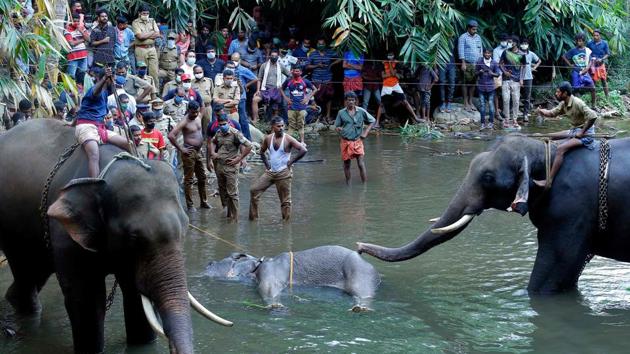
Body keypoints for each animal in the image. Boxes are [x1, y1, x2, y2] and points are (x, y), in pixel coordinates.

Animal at [0, 119, 232, 354]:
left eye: (184, 230)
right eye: (134, 237)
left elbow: (134, 294)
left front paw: (142, 344)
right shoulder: (65, 233)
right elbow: (87, 299)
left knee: (35, 271)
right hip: (11, 229)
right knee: (25, 270)